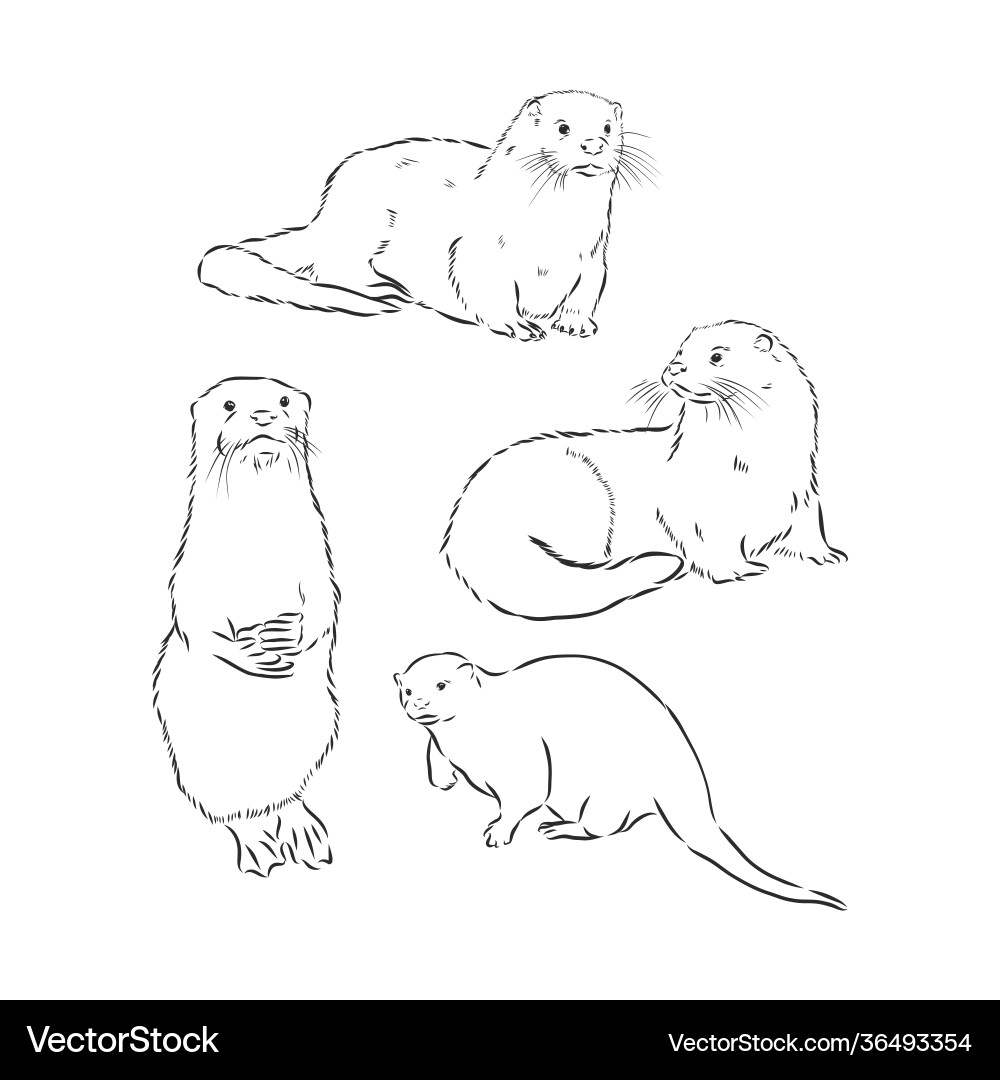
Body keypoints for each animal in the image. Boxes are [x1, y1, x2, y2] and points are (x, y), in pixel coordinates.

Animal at [153, 377, 340, 876]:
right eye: (229, 403)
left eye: (284, 400)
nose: (262, 414)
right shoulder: (192, 570)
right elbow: (194, 618)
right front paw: (251, 653)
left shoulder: (317, 561)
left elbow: (324, 606)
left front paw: (291, 638)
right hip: (201, 763)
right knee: (235, 812)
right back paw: (260, 844)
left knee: (287, 797)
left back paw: (305, 833)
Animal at [198, 91, 648, 340]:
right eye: (562, 127)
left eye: (608, 128)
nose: (593, 145)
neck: (551, 237)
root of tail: (322, 216)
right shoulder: (478, 248)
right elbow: (487, 289)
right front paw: (517, 324)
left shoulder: (593, 253)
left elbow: (587, 288)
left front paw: (575, 322)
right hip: (365, 223)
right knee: (333, 269)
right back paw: (383, 289)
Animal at [394, 653, 845, 910]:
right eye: (408, 690)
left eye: (441, 685)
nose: (420, 703)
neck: (468, 735)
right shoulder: (442, 742)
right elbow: (434, 754)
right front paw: (442, 777)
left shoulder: (523, 755)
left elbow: (524, 796)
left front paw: (499, 831)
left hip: (606, 792)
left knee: (604, 827)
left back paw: (561, 828)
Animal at [441, 320, 846, 619]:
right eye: (679, 352)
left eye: (717, 356)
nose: (674, 368)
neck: (752, 468)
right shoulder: (697, 508)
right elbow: (710, 543)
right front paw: (737, 570)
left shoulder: (803, 491)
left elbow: (809, 529)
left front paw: (828, 554)